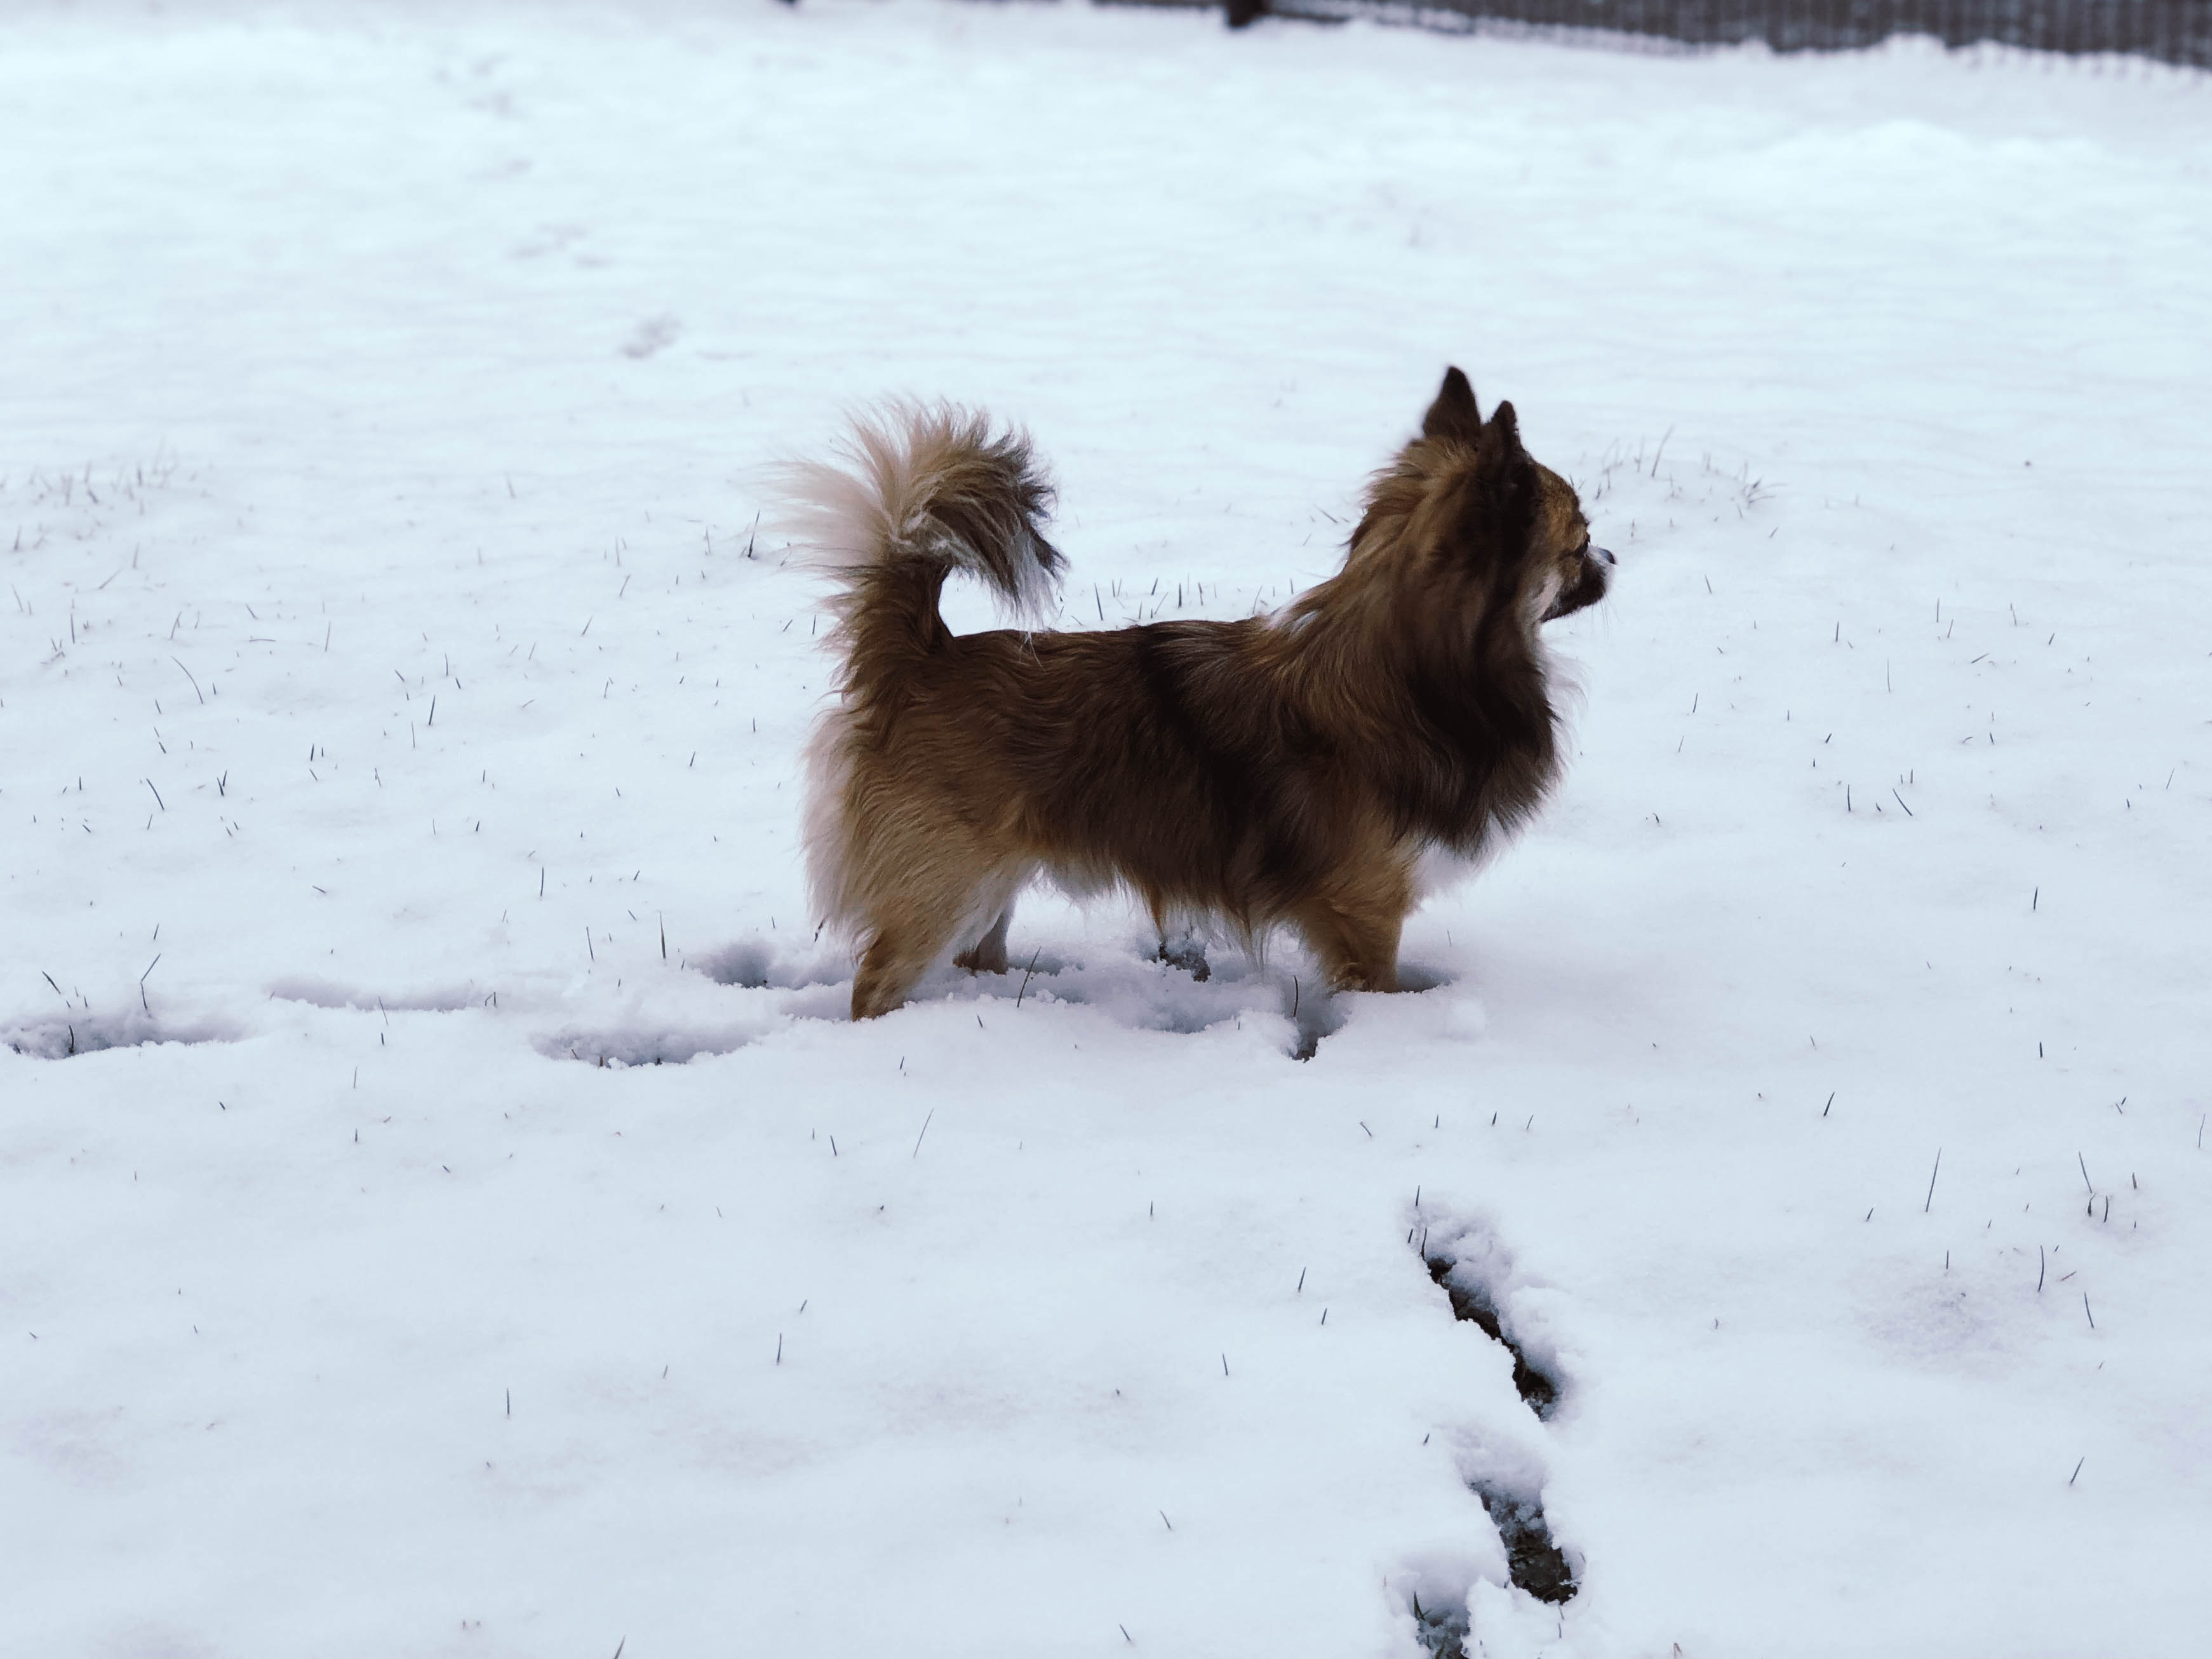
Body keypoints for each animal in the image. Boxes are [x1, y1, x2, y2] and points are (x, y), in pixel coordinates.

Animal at [787, 369, 1619, 1021]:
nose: (1612, 555)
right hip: (946, 892)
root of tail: (923, 653)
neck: (1409, 671)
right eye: (1578, 541)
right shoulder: (1365, 914)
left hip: (990, 890)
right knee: (876, 983)